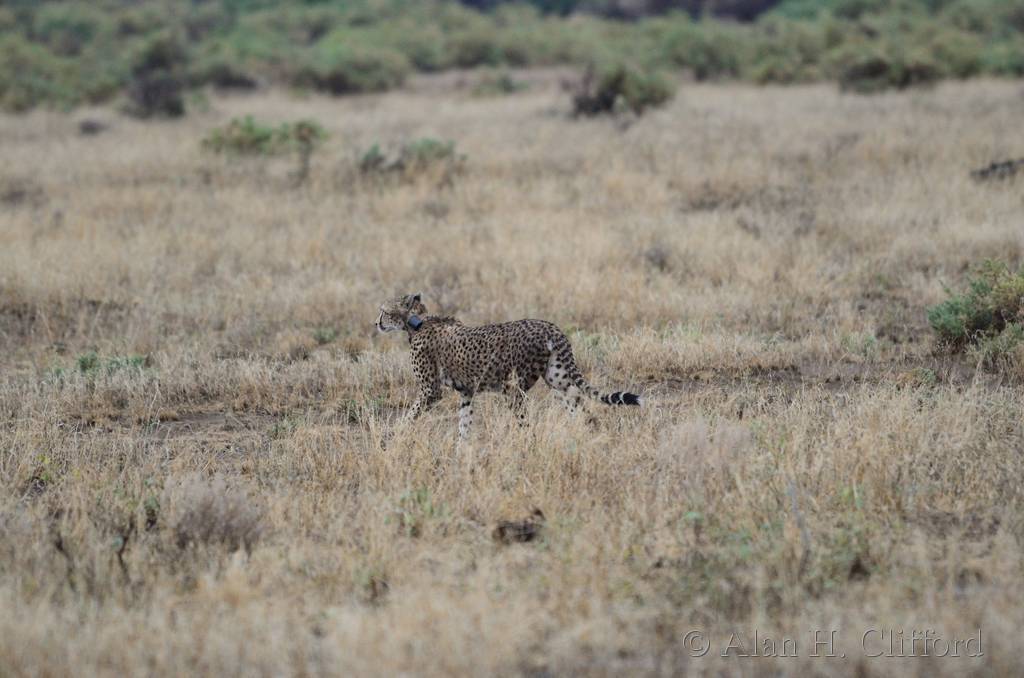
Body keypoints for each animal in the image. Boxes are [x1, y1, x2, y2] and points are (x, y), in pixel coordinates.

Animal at [376, 293, 641, 438]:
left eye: (384, 311)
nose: (375, 323)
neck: (418, 321)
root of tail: (549, 326)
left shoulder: (430, 391)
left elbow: (410, 415)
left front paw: (393, 436)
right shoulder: (467, 391)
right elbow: (464, 424)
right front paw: (461, 455)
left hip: (513, 387)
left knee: (528, 425)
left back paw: (528, 449)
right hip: (557, 379)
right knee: (581, 409)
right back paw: (589, 438)